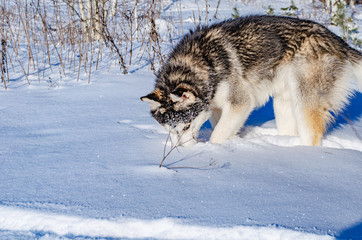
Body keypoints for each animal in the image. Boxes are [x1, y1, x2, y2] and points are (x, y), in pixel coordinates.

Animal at [141, 15, 362, 146]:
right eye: (170, 129)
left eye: (186, 126)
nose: (182, 150)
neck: (203, 62)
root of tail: (337, 40)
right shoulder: (217, 108)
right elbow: (223, 126)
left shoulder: (240, 103)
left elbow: (217, 136)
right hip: (284, 103)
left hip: (304, 103)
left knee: (312, 136)